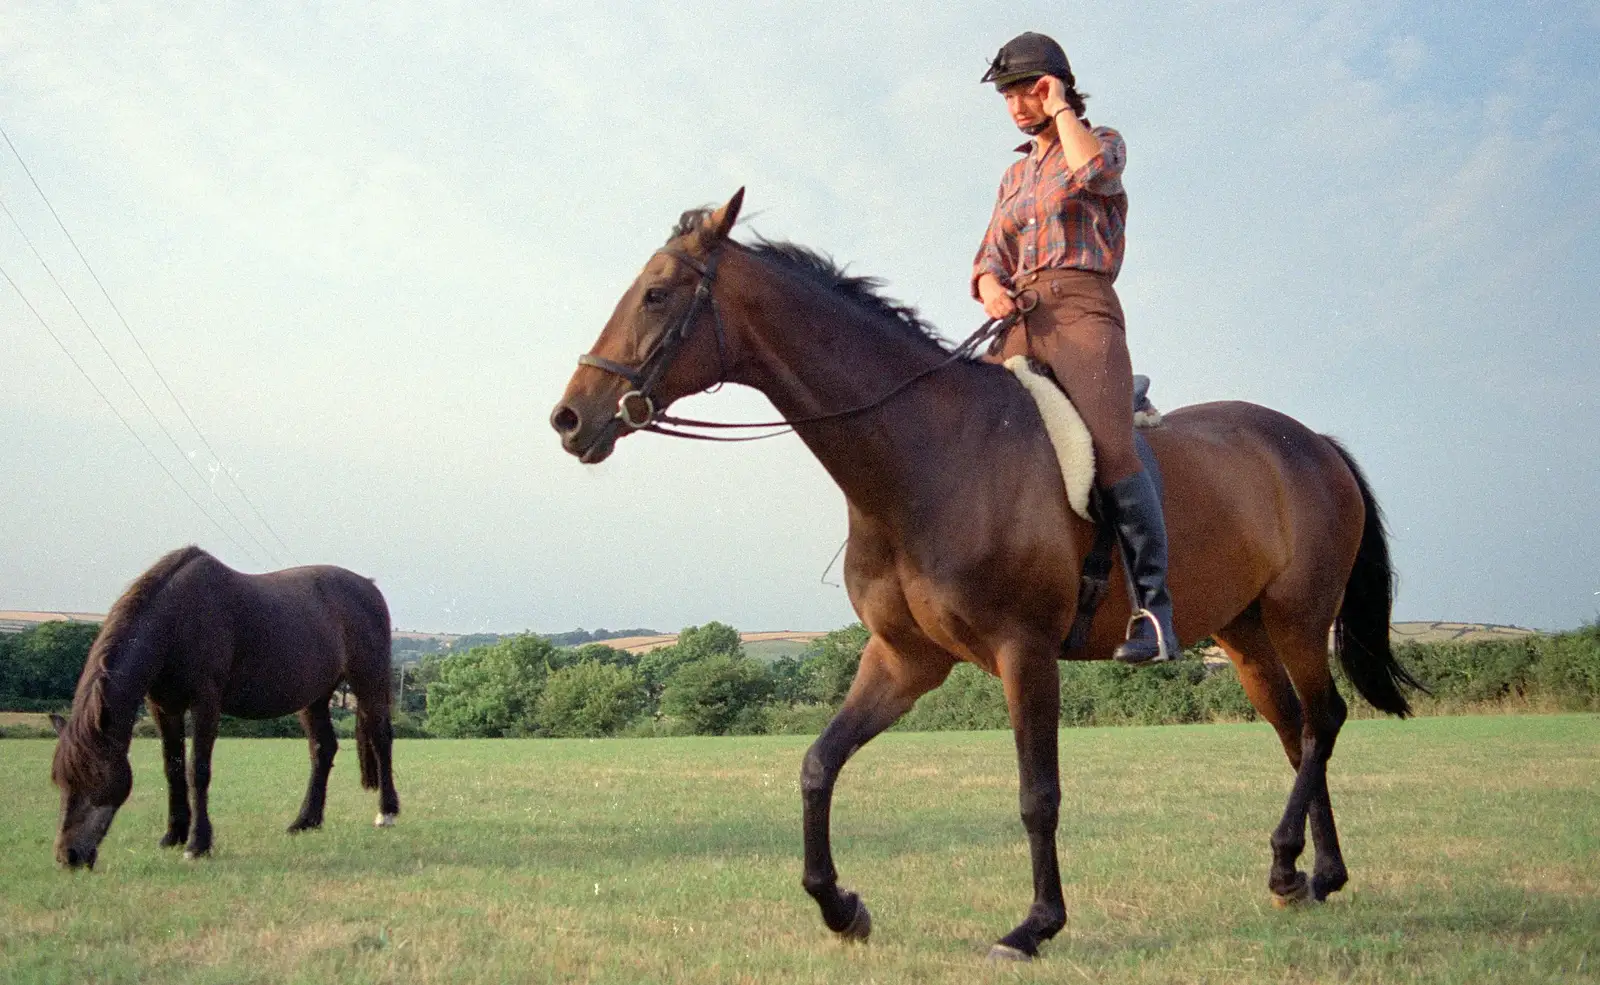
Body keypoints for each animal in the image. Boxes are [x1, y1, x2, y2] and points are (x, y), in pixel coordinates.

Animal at [51, 546, 400, 869]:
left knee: (381, 738)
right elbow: (173, 768)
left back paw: (386, 813)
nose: (69, 856)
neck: (177, 619)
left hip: (368, 682)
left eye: (93, 776)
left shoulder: (206, 702)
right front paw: (173, 835)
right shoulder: (164, 707)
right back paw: (305, 821)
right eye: (60, 780)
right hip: (314, 696)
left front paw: (197, 844)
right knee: (323, 748)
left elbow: (197, 769)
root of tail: (369, 587)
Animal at [544, 188, 1420, 959]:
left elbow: (1038, 795)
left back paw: (1290, 862)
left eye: (657, 293)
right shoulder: (905, 659)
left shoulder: (1022, 652)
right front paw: (842, 907)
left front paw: (1035, 925)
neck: (926, 453)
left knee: (1323, 721)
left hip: (1299, 618)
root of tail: (1313, 441)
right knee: (1295, 730)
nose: (570, 419)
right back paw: (1311, 875)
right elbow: (818, 764)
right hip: (1243, 633)